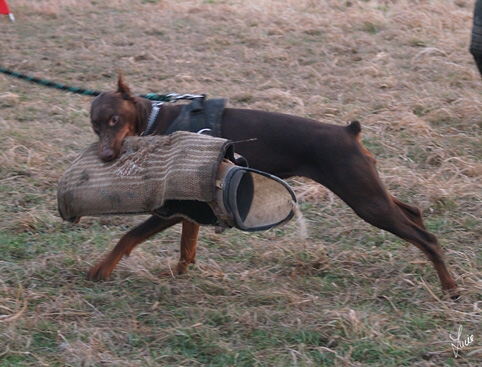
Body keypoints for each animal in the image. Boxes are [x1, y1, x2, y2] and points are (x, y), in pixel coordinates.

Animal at [86, 75, 460, 300]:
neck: (155, 121)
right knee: (414, 211)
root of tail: (349, 131)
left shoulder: (173, 206)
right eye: (94, 124)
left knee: (427, 238)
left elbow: (129, 235)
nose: (105, 156)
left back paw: (451, 288)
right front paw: (179, 272)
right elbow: (186, 246)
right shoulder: (191, 205)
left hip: (365, 199)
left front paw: (100, 270)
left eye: (114, 120)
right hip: (369, 189)